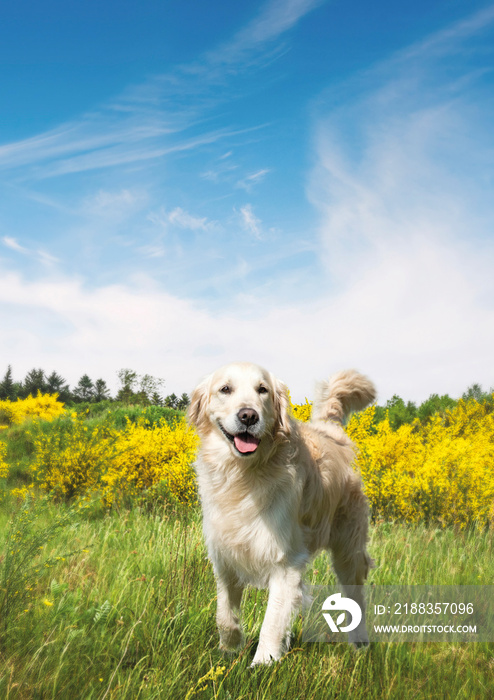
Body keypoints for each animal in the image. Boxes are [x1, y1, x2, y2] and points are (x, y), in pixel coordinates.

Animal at [187, 364, 376, 664]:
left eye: (262, 390)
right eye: (225, 389)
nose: (248, 416)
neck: (243, 476)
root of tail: (328, 430)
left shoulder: (285, 561)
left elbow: (272, 622)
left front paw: (262, 664)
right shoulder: (225, 554)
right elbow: (224, 614)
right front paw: (229, 648)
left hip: (349, 550)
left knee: (356, 596)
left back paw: (360, 644)